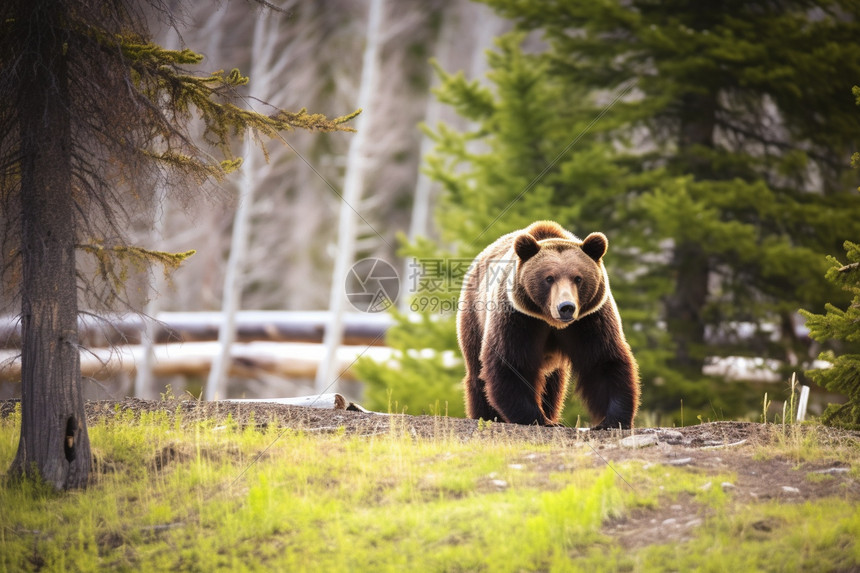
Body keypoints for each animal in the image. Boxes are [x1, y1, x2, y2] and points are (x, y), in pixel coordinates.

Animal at [456, 221, 640, 426]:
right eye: (549, 278)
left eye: (578, 278)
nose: (566, 307)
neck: (551, 322)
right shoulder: (517, 318)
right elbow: (512, 364)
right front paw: (538, 419)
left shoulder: (590, 320)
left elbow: (602, 361)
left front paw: (613, 419)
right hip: (474, 318)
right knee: (477, 372)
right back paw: (487, 415)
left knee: (553, 383)